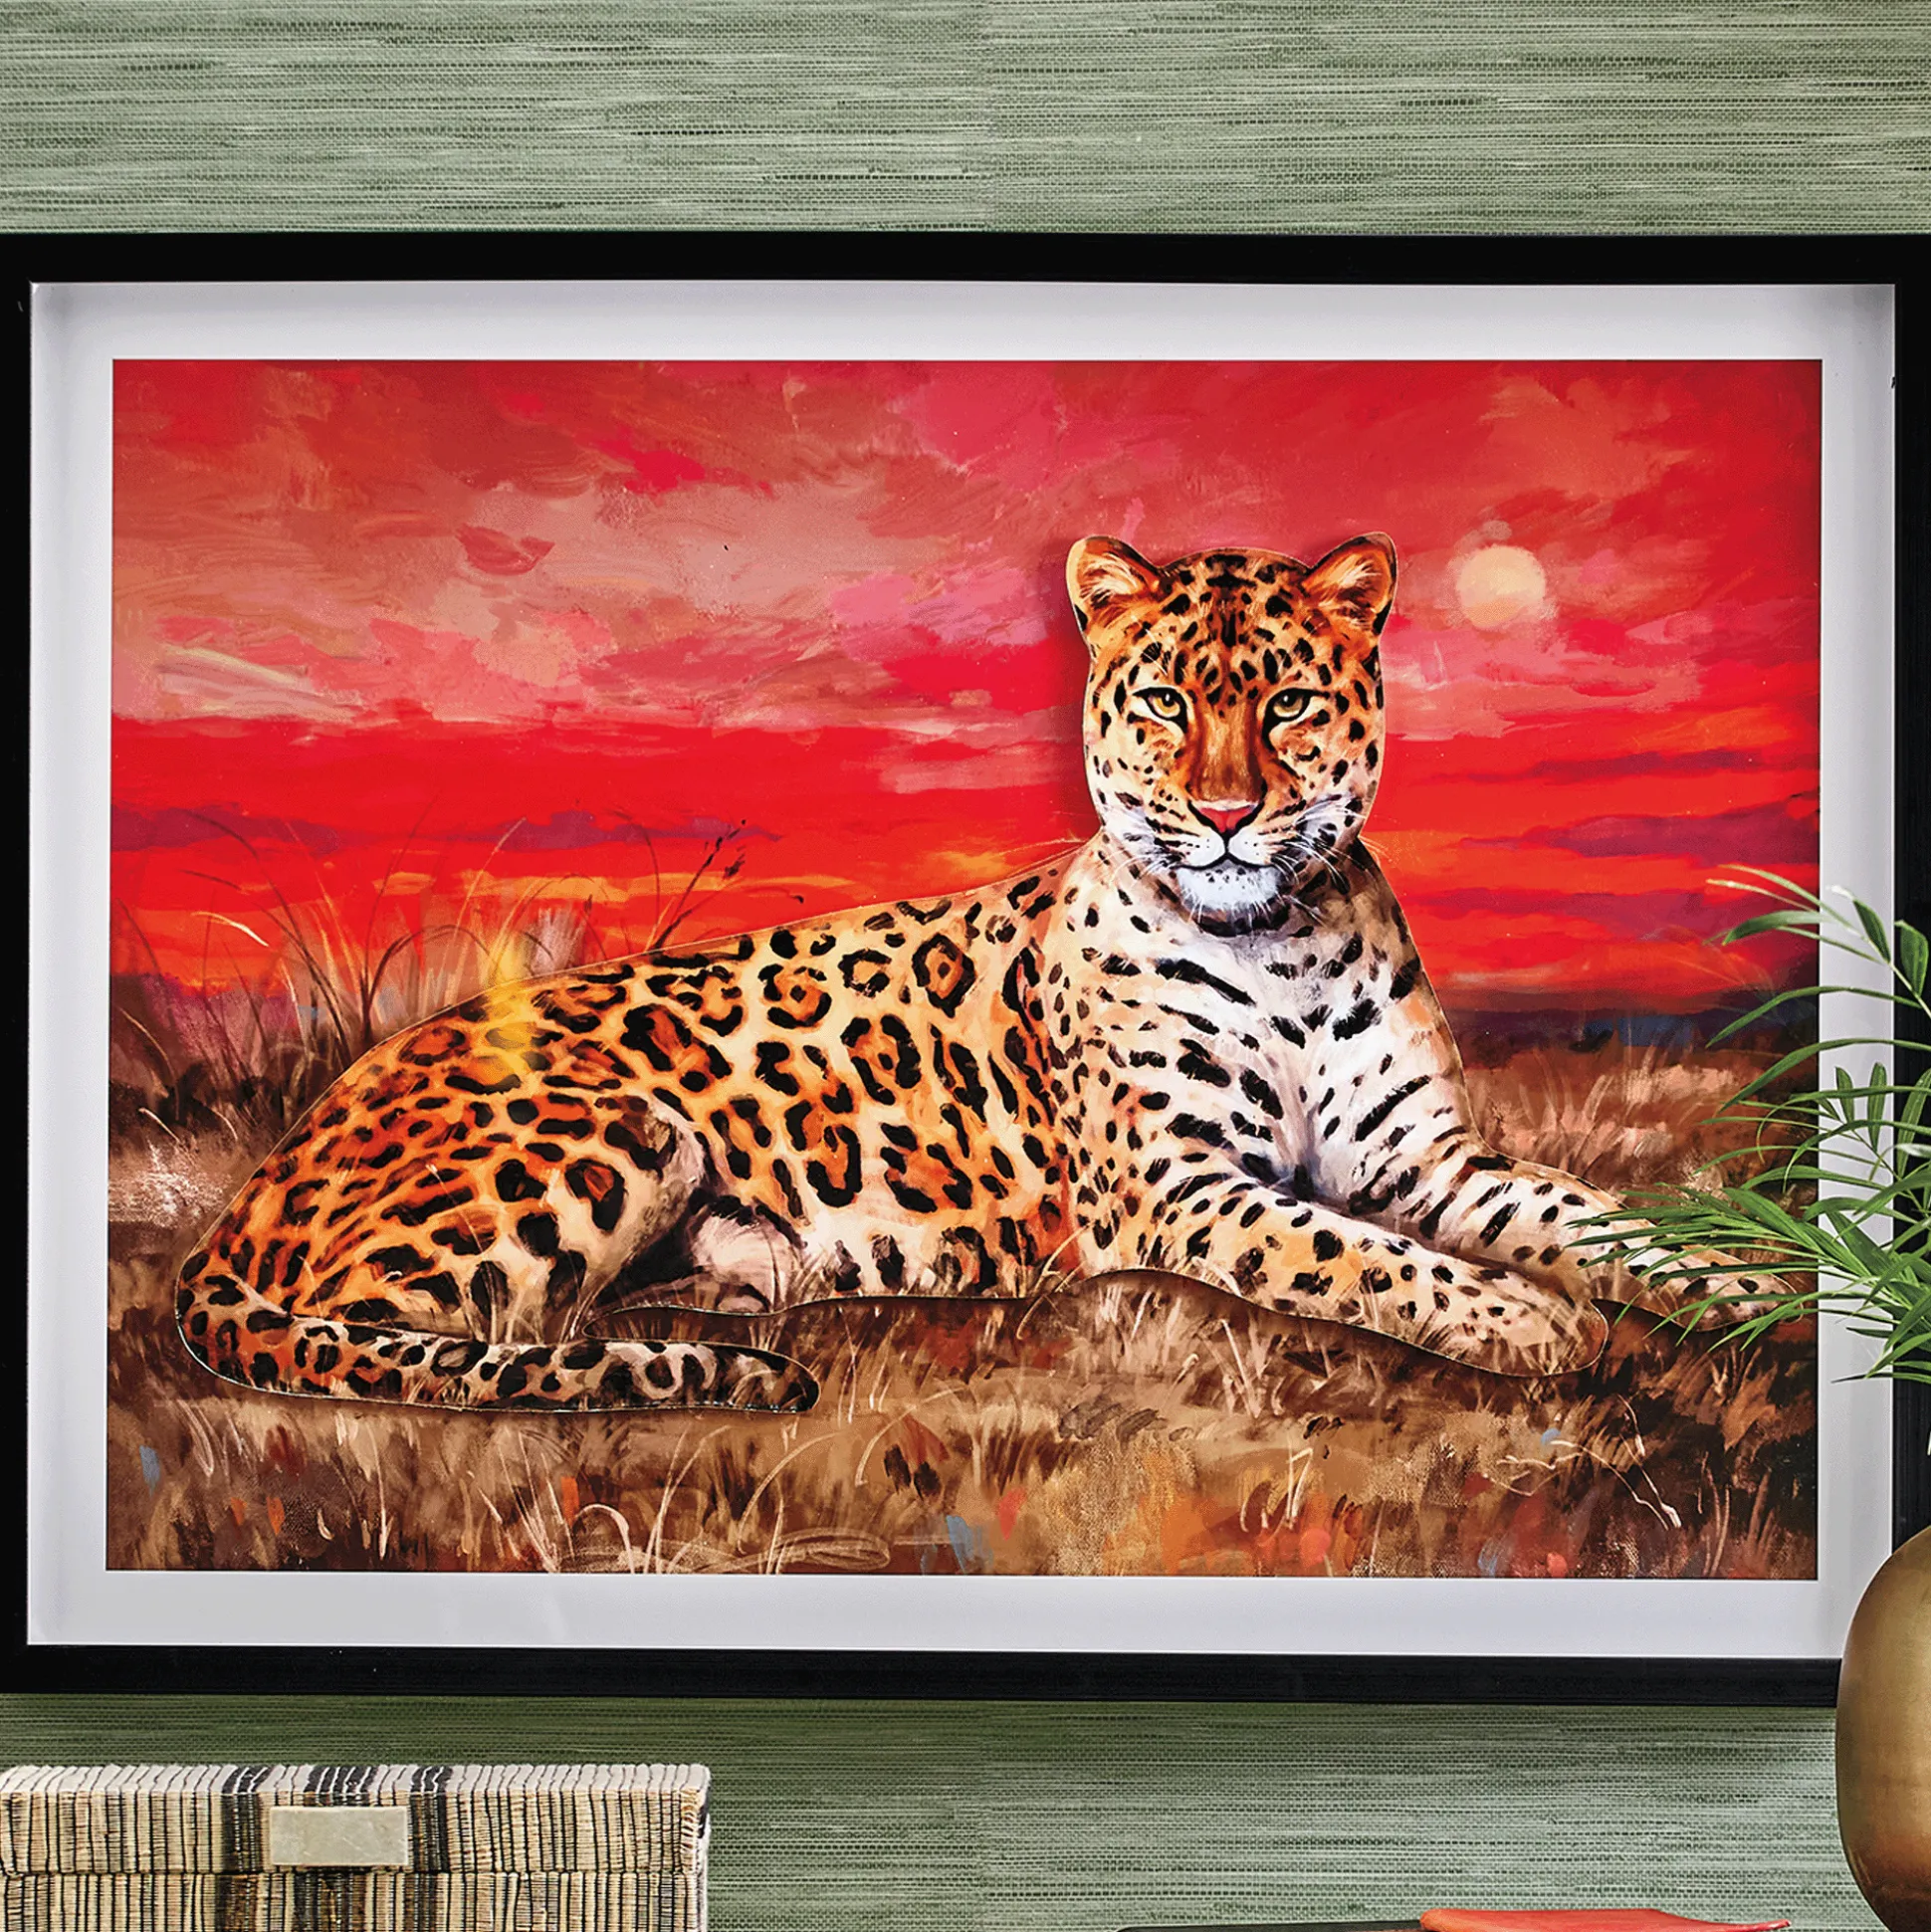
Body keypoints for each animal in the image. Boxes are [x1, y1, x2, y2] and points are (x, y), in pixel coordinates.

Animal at [176, 532, 1772, 1415]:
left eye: (1289, 705)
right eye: (1168, 699)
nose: (1228, 813)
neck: (1283, 944)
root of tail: (274, 1166)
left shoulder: (1428, 1160)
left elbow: (1603, 1223)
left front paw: (1755, 1280)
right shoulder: (1178, 1191)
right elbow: (1355, 1256)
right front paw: (1523, 1319)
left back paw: (739, 1286)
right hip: (607, 1133)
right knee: (413, 1338)